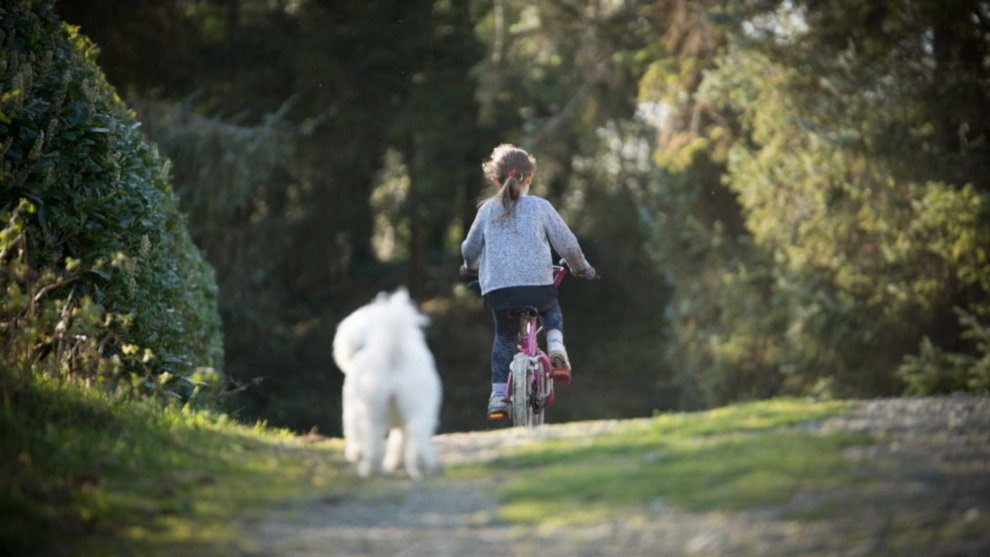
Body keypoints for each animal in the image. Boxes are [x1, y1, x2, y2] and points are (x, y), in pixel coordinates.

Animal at [334, 286, 442, 478]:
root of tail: (393, 352)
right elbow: (398, 441)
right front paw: (394, 463)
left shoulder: (351, 410)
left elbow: (352, 432)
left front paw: (355, 453)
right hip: (418, 408)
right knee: (417, 439)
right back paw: (420, 467)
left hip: (371, 412)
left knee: (372, 443)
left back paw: (368, 469)